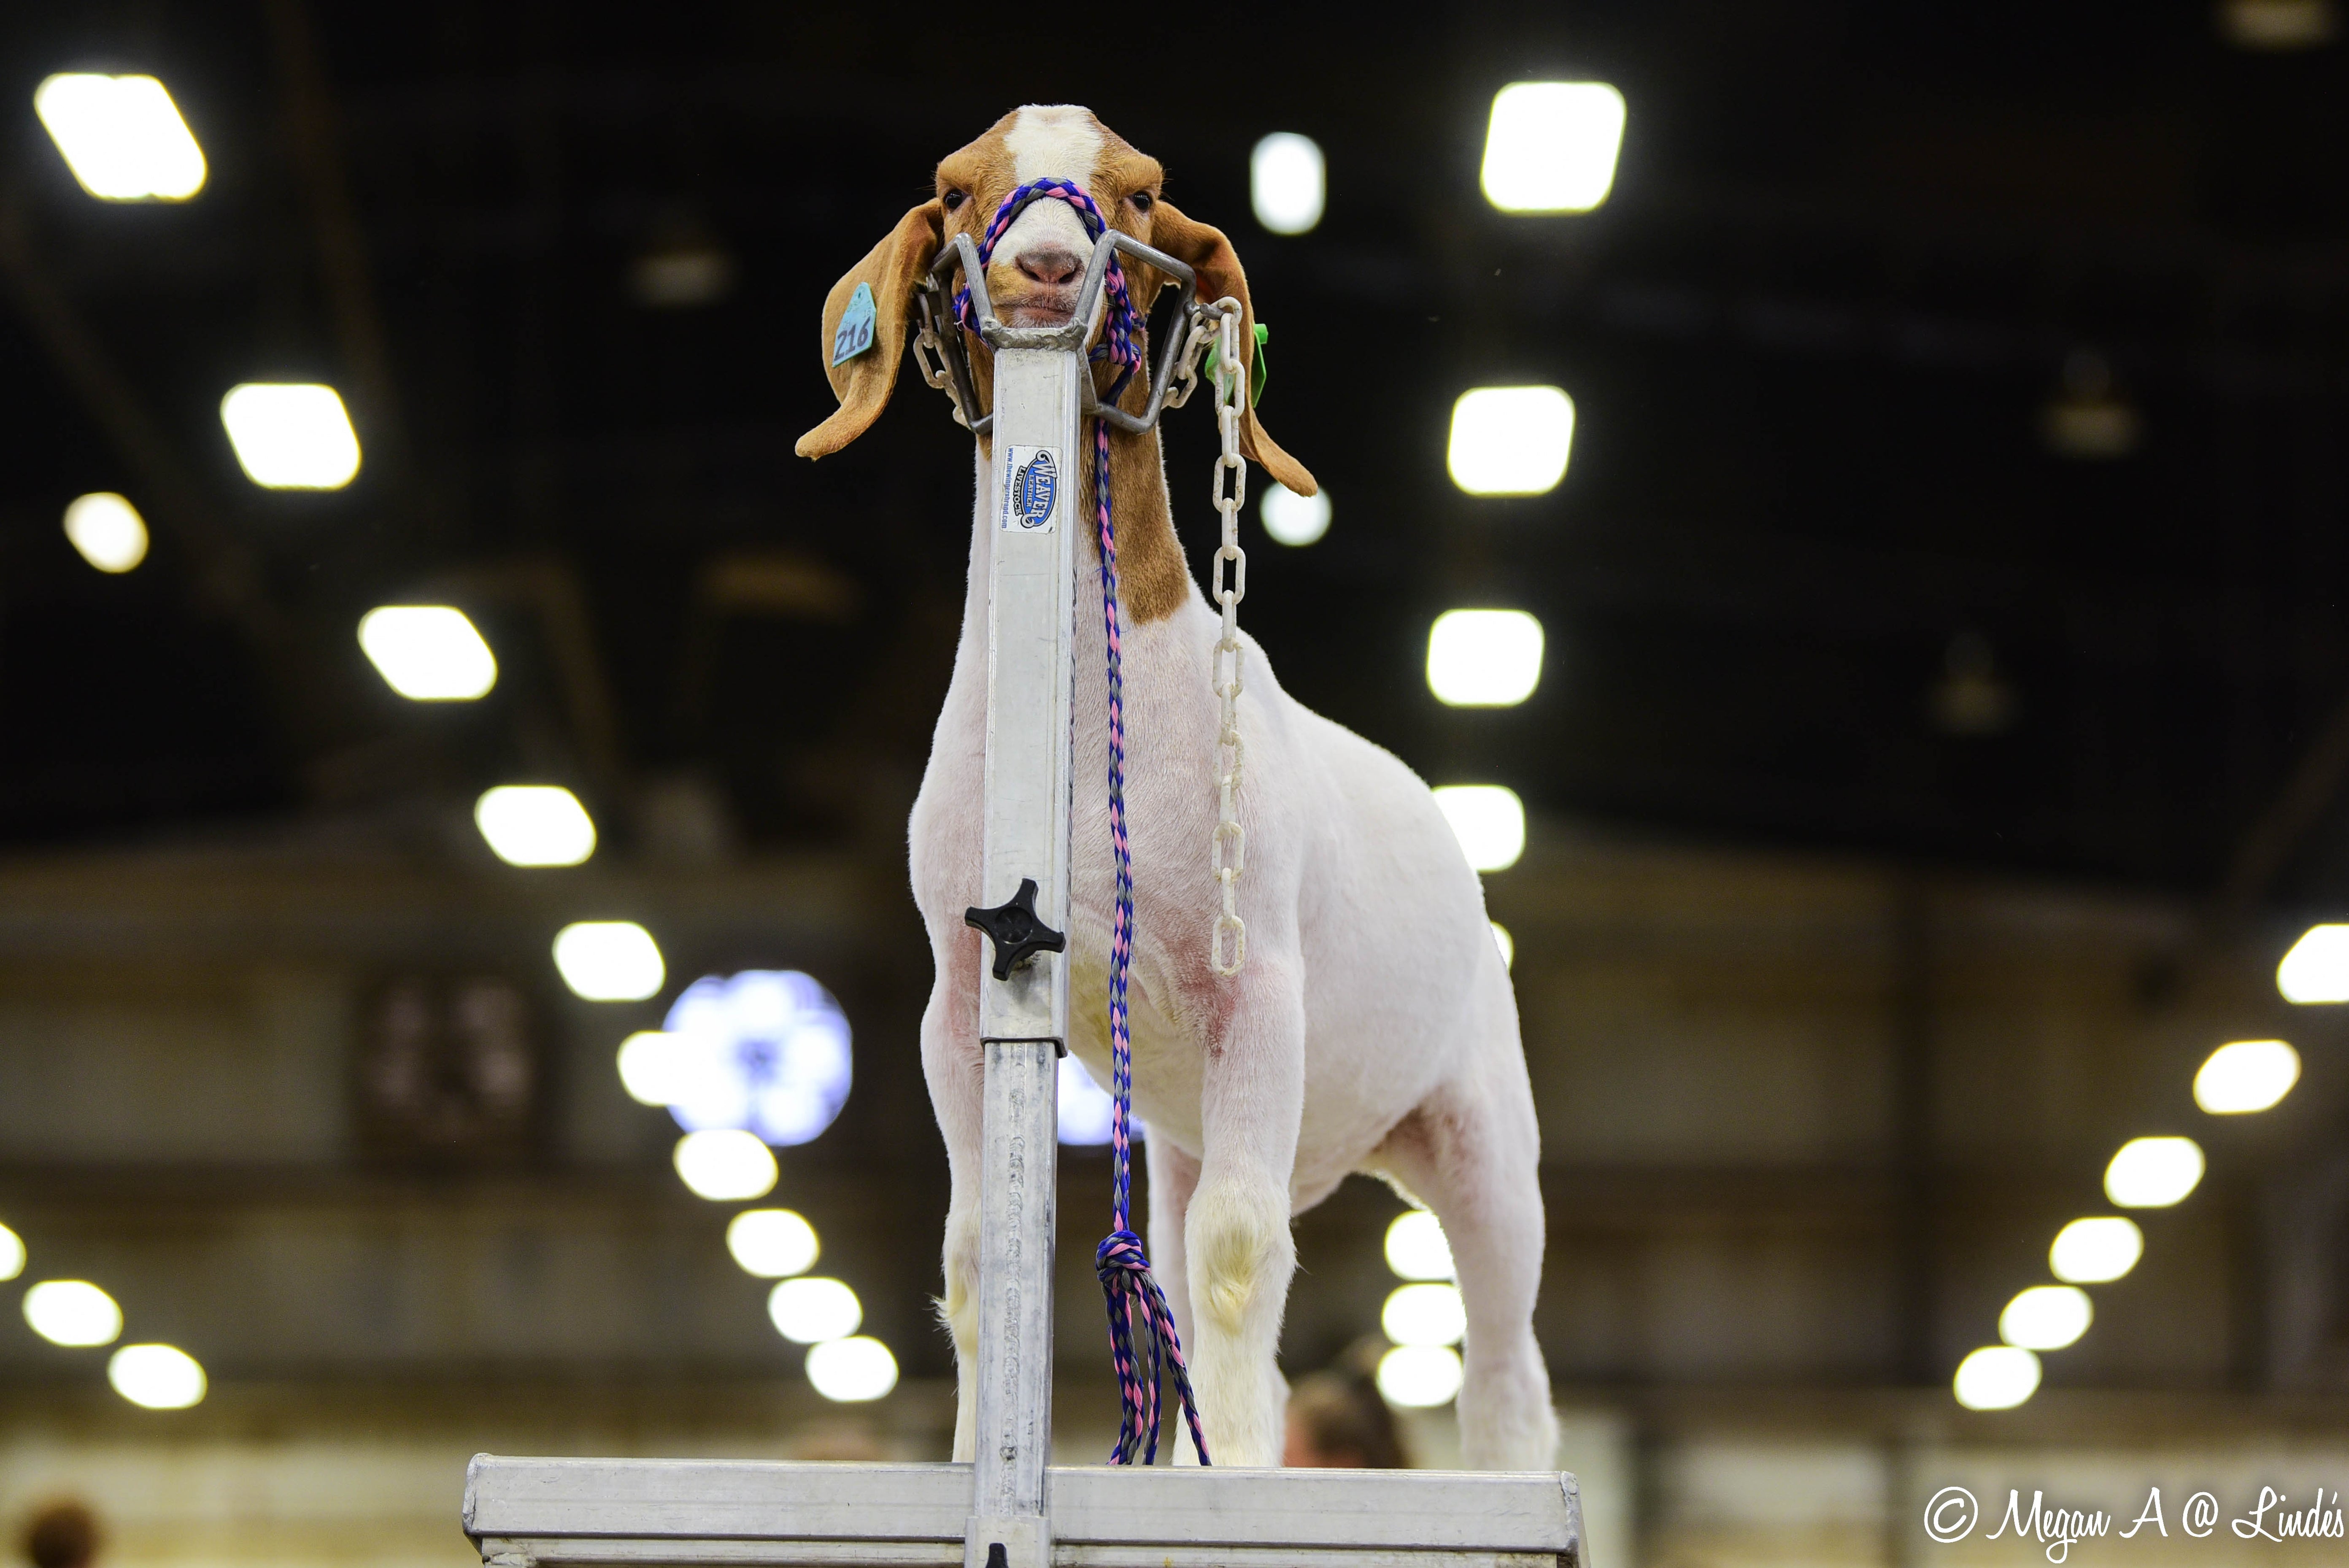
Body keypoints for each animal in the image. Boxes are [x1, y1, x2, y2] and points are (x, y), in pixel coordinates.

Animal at [797, 105, 1555, 1472]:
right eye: (955, 186)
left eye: (1142, 191)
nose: (1045, 266)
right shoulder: (962, 994)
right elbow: (976, 1255)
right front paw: (970, 1458)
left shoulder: (1254, 988)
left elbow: (1241, 1255)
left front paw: (1243, 1474)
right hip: (1186, 1132)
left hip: (1480, 1128)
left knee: (1500, 1359)